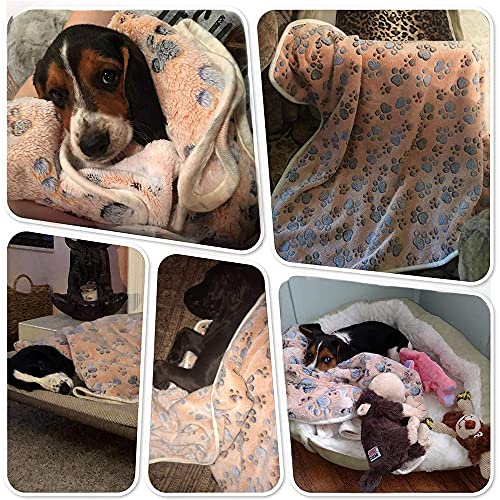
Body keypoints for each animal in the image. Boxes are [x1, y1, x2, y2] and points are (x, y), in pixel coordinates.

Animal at [153, 262, 265, 393]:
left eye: (210, 282)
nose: (186, 294)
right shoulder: (204, 344)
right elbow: (184, 331)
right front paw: (175, 355)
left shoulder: (199, 378)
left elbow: (159, 364)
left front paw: (159, 381)